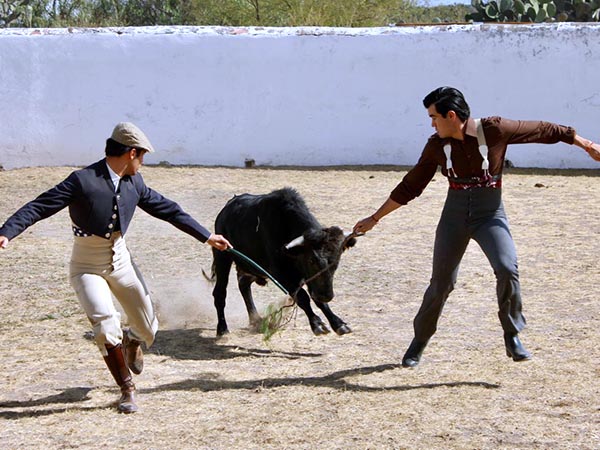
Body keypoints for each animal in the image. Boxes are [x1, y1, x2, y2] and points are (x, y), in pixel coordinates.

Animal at [206, 187, 356, 338]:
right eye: (311, 260)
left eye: (336, 261)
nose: (326, 296)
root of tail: (225, 210)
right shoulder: (279, 274)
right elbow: (302, 296)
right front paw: (317, 323)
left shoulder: (308, 278)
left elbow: (316, 300)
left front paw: (338, 324)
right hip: (222, 257)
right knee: (220, 293)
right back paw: (222, 328)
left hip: (251, 267)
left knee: (243, 284)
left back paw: (256, 320)